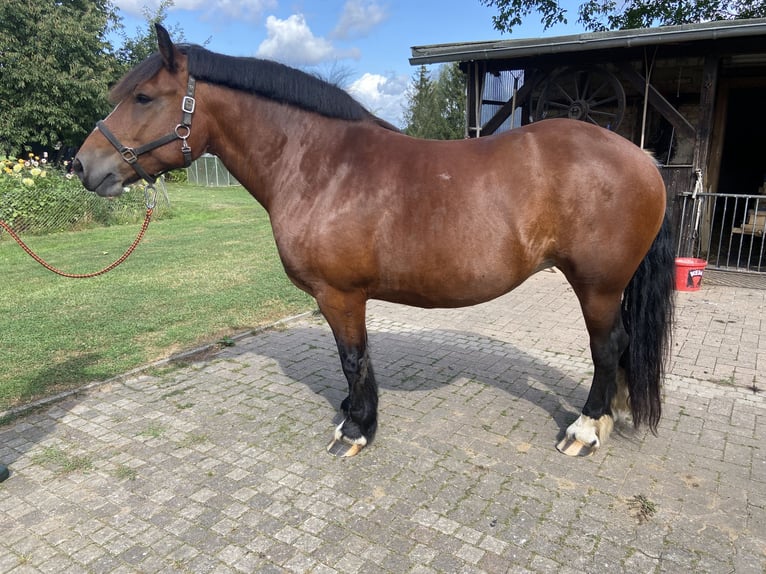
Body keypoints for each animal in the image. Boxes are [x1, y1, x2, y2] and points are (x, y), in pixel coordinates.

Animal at [74, 25, 675, 458]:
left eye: (144, 97)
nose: (82, 165)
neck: (321, 166)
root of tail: (642, 158)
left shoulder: (340, 296)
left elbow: (353, 358)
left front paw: (357, 428)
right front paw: (350, 412)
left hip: (597, 285)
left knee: (608, 346)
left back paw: (586, 429)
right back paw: (612, 413)